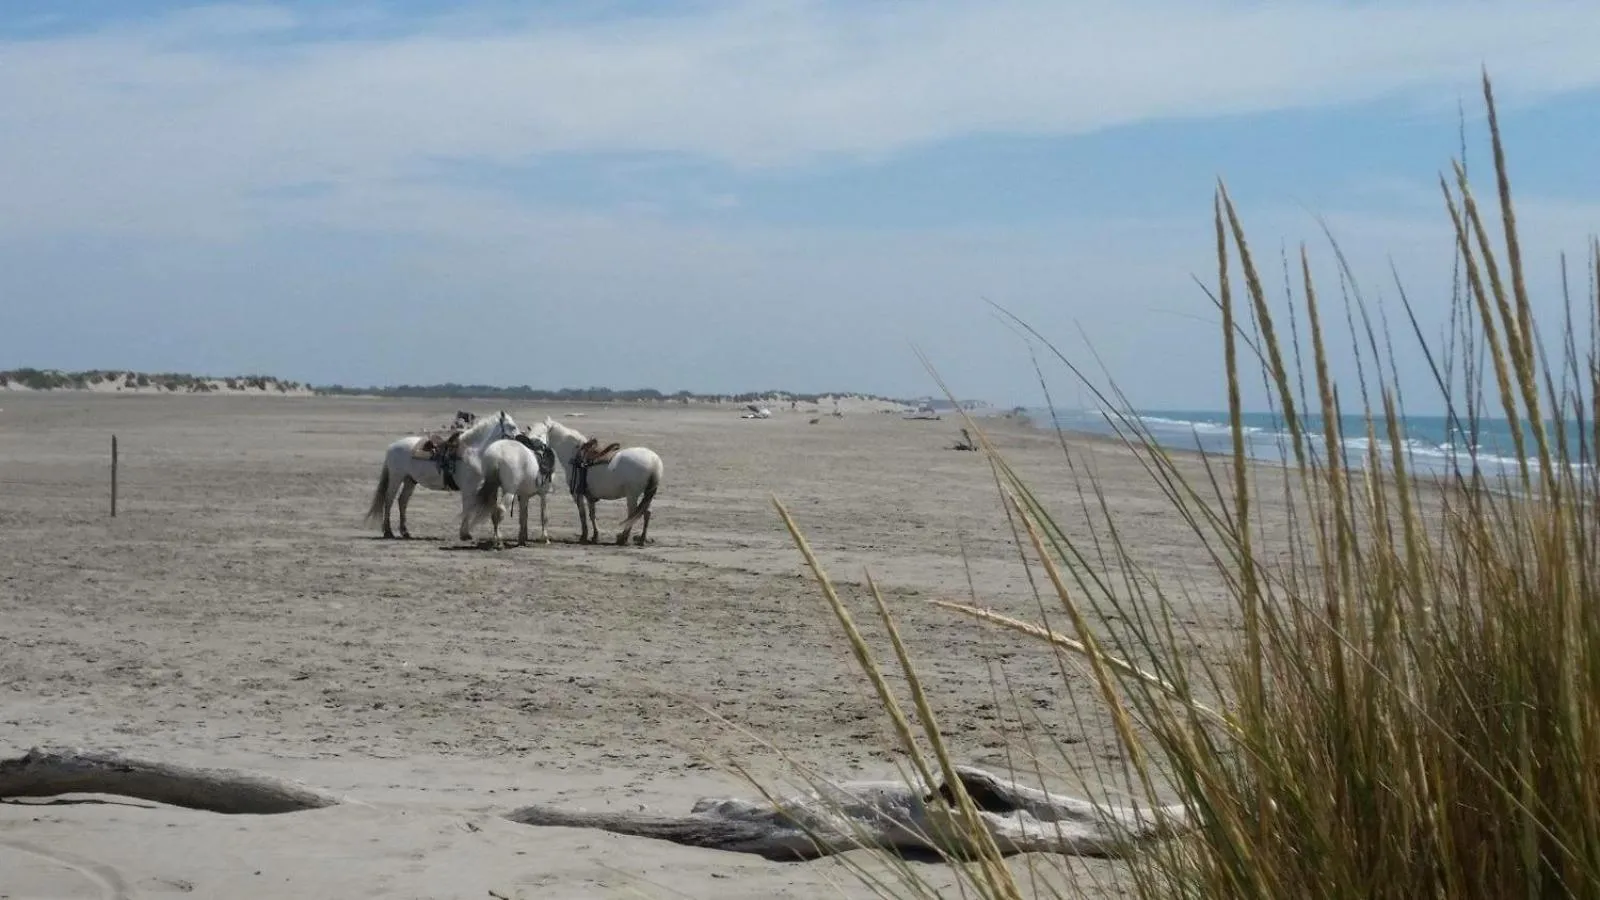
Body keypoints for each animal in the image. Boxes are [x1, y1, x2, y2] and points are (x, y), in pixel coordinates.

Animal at [363, 410, 519, 540]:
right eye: (512, 426)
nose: (522, 437)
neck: (473, 452)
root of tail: (392, 447)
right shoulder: (469, 488)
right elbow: (467, 507)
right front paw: (465, 534)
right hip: (397, 477)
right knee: (389, 500)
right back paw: (388, 531)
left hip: (410, 480)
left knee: (402, 501)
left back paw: (405, 532)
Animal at [540, 416, 664, 545]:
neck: (574, 454)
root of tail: (654, 461)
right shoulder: (589, 495)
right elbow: (592, 514)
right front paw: (595, 536)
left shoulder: (577, 494)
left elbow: (582, 514)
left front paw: (584, 536)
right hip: (647, 493)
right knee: (646, 513)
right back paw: (642, 539)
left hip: (632, 495)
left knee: (632, 513)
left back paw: (623, 538)